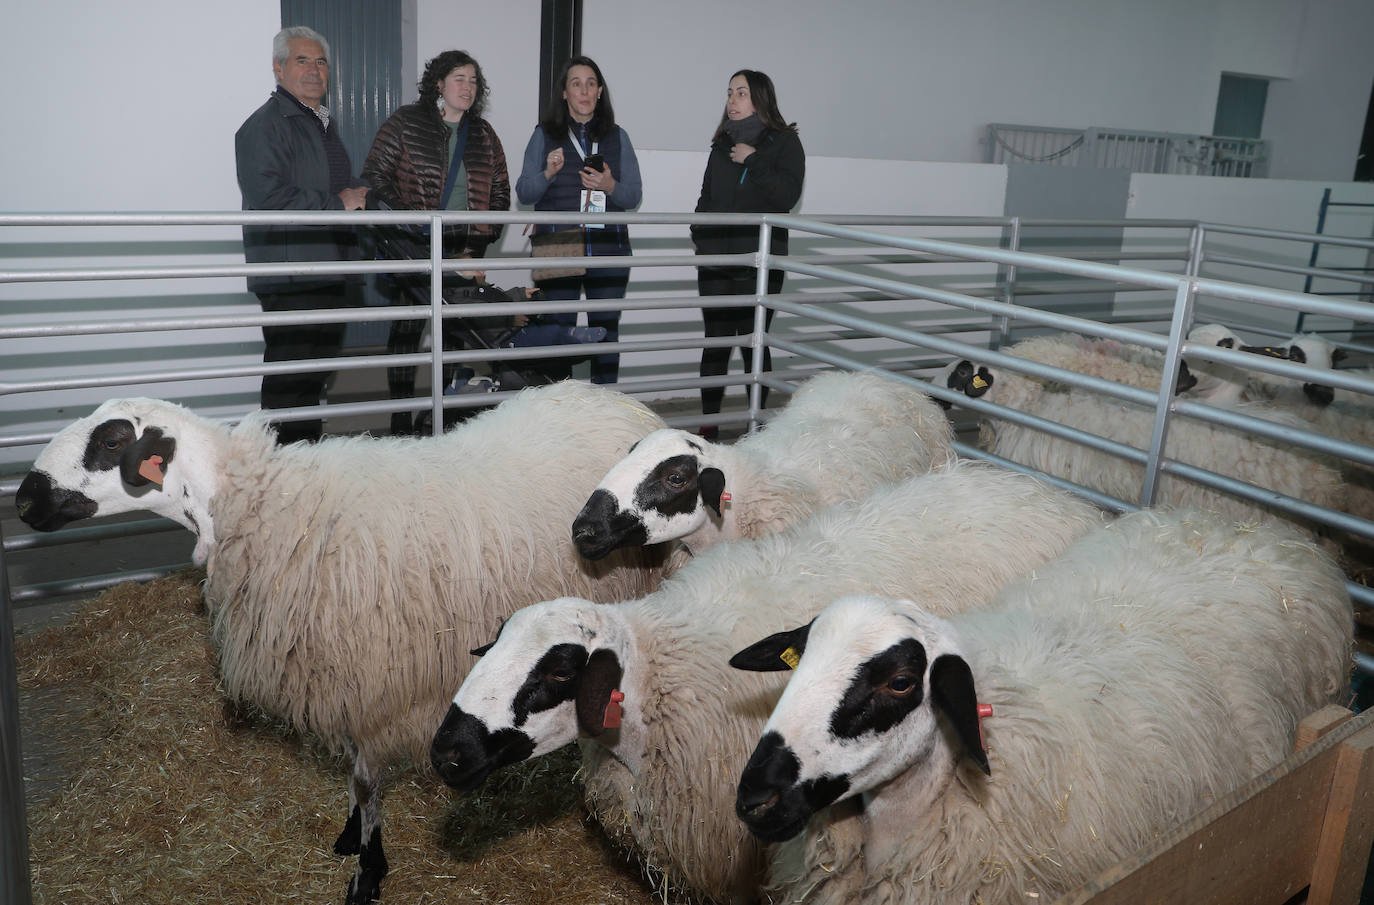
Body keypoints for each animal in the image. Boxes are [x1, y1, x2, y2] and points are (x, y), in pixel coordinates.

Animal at [9, 387, 676, 905]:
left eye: (112, 441)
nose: (23, 499)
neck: (256, 505)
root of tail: (614, 399)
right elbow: (357, 783)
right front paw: (352, 838)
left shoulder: (367, 681)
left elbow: (364, 781)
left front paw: (367, 871)